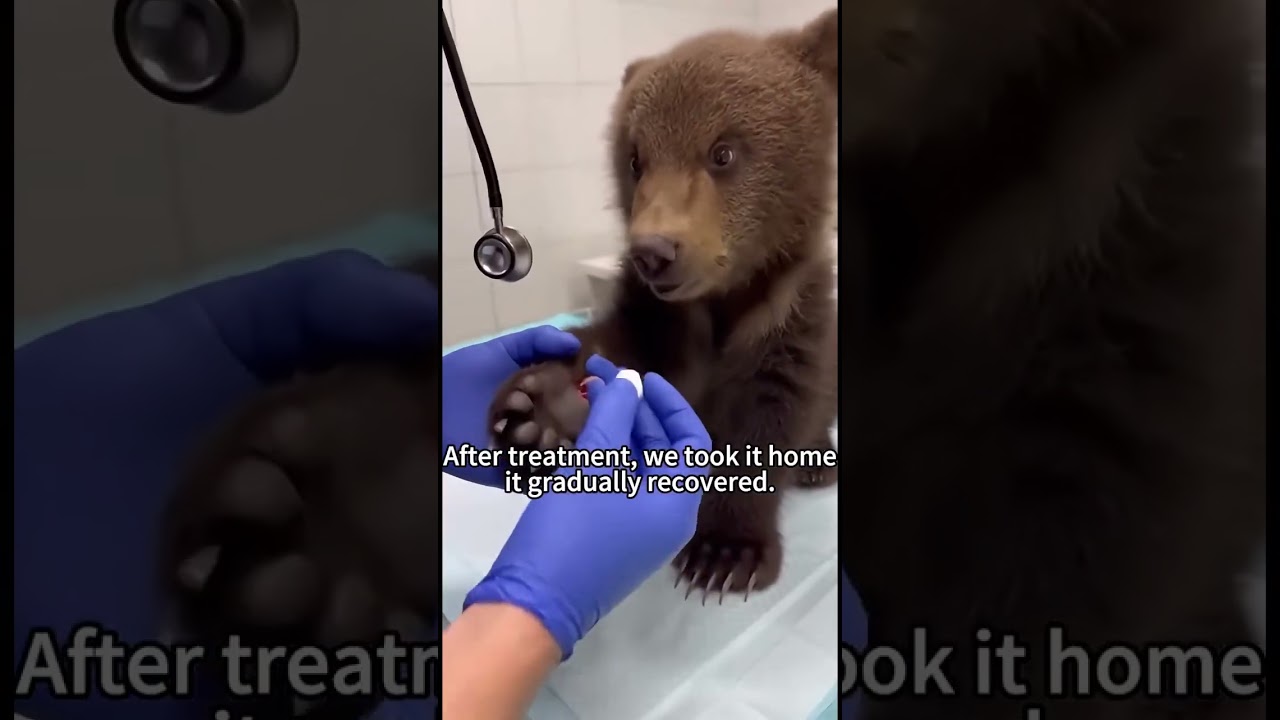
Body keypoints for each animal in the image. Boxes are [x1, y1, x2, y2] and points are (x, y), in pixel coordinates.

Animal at [486, 9, 840, 600]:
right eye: (635, 159)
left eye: (723, 151)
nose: (654, 251)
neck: (722, 301)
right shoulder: (658, 316)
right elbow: (623, 351)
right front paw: (539, 410)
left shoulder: (790, 314)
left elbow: (771, 410)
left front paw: (725, 552)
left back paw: (818, 465)